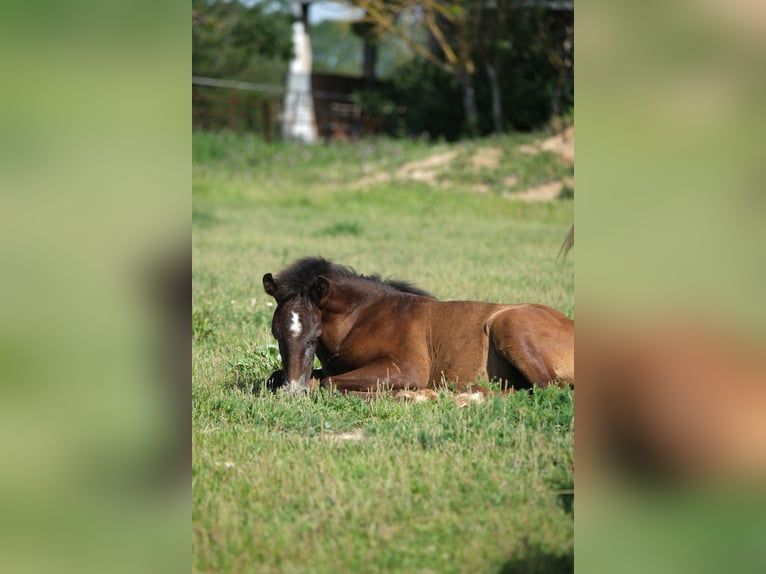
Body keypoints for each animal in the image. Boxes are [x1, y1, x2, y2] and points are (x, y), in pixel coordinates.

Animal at [262, 257, 574, 395]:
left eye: (314, 336)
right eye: (276, 335)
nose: (293, 391)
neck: (361, 318)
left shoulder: (408, 368)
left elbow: (326, 382)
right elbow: (275, 377)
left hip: (508, 324)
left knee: (548, 388)